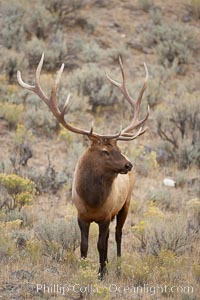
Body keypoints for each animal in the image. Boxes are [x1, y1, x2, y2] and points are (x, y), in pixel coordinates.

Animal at [17, 53, 148, 278]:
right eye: (104, 151)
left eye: (118, 146)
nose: (128, 165)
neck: (93, 201)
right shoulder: (81, 216)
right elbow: (84, 246)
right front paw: (85, 268)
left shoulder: (106, 215)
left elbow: (101, 245)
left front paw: (102, 273)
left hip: (126, 202)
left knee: (118, 234)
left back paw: (118, 266)